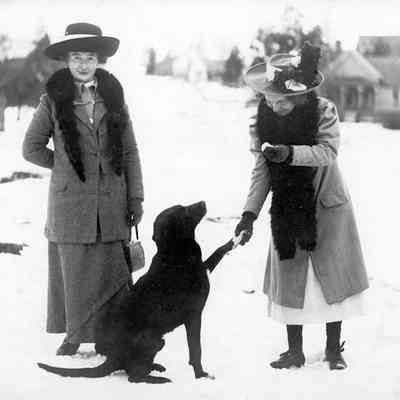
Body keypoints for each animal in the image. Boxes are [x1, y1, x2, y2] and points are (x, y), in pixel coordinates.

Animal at [38, 201, 234, 383]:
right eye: (183, 210)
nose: (203, 202)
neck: (175, 252)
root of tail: (112, 358)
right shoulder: (194, 315)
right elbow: (196, 350)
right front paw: (201, 375)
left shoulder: (204, 268)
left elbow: (219, 252)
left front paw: (235, 238)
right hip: (152, 339)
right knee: (134, 376)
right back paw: (159, 379)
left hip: (158, 341)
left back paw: (156, 367)